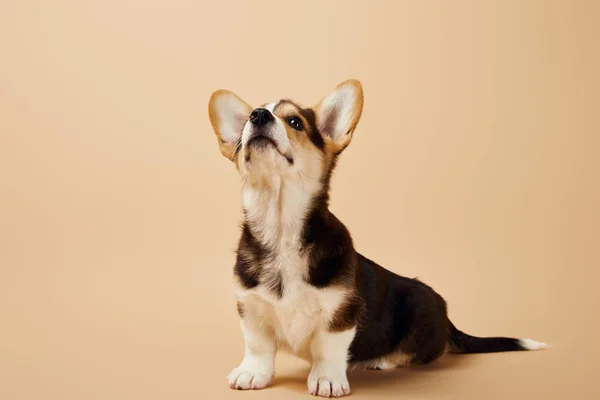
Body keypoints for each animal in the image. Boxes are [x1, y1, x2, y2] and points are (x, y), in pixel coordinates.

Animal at [207, 79, 548, 396]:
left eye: (295, 122)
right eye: (249, 119)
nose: (258, 115)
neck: (281, 225)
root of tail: (448, 319)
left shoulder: (342, 312)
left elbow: (329, 348)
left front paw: (328, 379)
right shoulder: (250, 308)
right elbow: (257, 346)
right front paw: (252, 373)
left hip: (419, 309)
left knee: (421, 353)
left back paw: (379, 359)